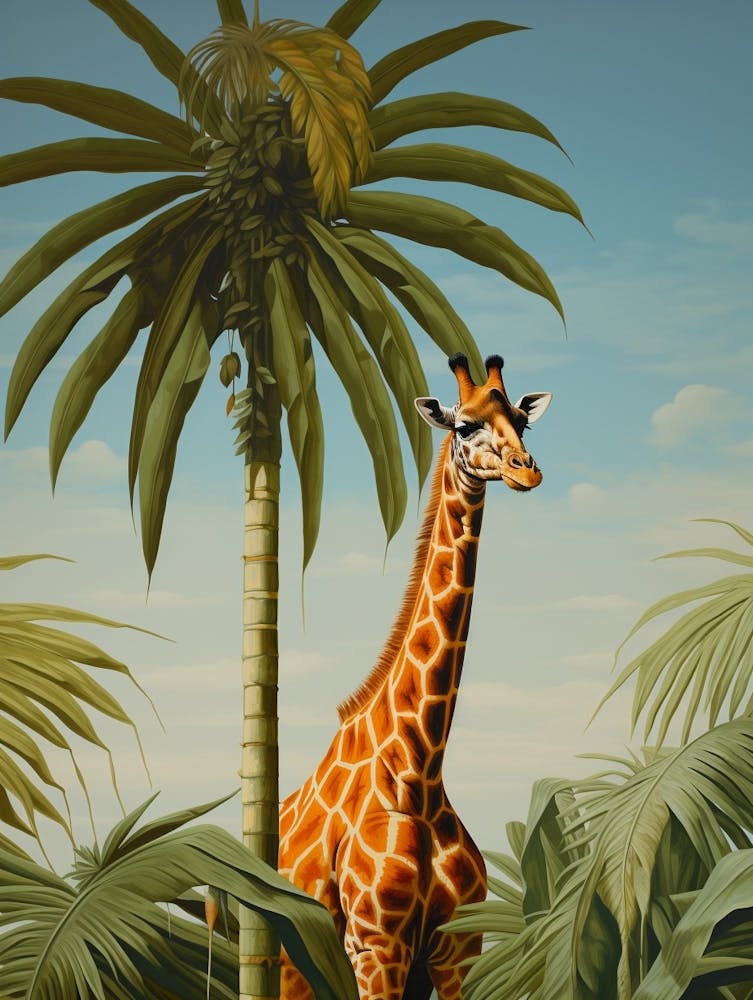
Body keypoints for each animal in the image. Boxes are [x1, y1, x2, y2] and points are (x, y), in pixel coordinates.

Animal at [279, 352, 552, 1000]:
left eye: (522, 424)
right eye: (464, 426)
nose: (527, 472)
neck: (420, 771)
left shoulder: (456, 949)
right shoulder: (376, 946)